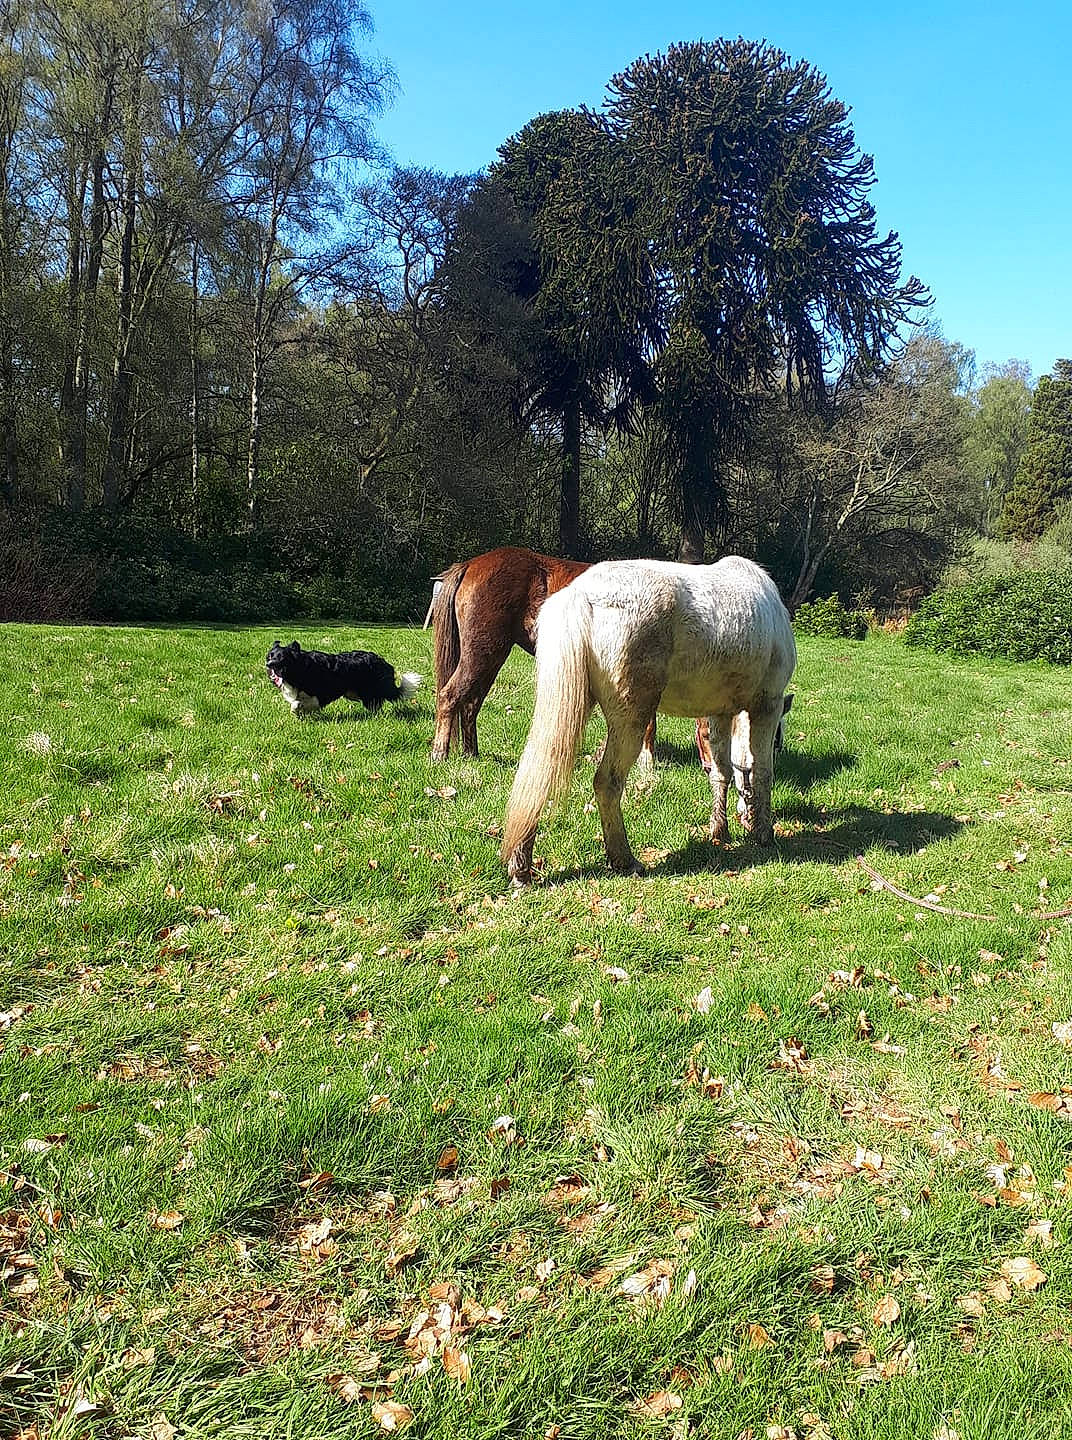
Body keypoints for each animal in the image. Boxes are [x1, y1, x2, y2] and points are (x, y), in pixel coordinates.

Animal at [430, 546, 656, 766]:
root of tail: (470, 565)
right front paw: (647, 763)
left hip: (491, 658)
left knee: (470, 703)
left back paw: (471, 754)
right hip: (482, 654)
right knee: (450, 696)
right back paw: (440, 754)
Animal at [502, 556, 797, 883]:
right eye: (779, 740)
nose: (745, 818)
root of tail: (581, 595)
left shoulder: (720, 713)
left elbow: (722, 772)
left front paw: (720, 832)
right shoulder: (766, 707)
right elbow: (762, 771)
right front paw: (763, 833)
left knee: (539, 774)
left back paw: (521, 867)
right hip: (631, 719)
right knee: (607, 782)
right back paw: (624, 860)